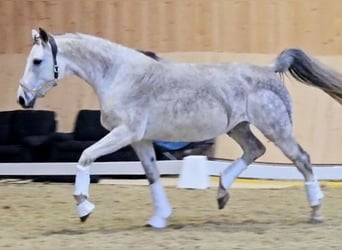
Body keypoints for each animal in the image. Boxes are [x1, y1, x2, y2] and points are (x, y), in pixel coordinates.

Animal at [18, 27, 342, 229]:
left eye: (37, 61)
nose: (22, 99)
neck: (119, 75)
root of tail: (269, 69)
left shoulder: (125, 133)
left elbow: (85, 157)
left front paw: (84, 208)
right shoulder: (140, 140)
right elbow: (152, 175)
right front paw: (159, 218)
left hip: (276, 128)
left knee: (302, 159)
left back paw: (315, 211)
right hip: (238, 127)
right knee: (254, 150)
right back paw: (222, 192)